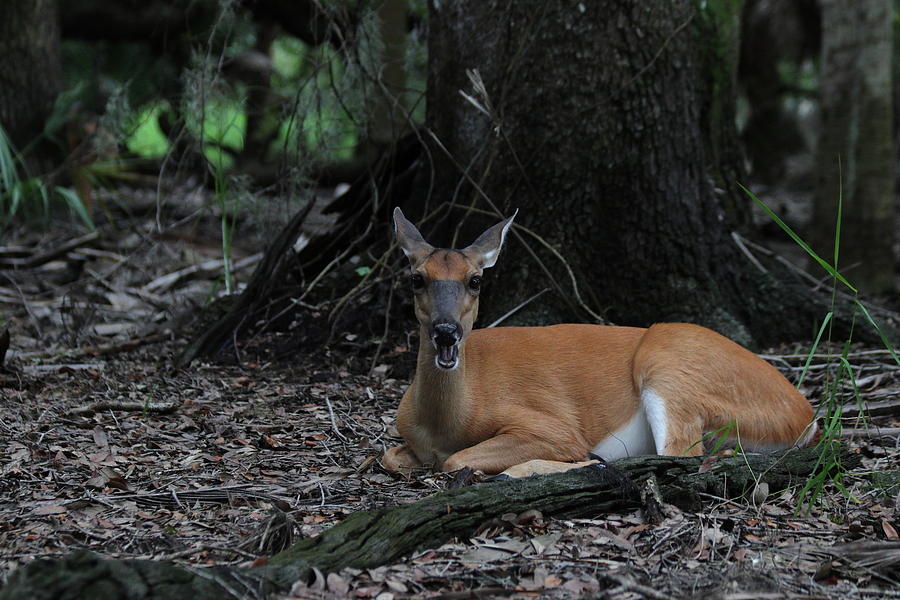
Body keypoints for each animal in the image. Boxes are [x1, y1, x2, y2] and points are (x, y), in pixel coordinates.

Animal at [384, 209, 820, 480]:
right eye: (416, 278)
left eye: (475, 280)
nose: (446, 331)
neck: (447, 422)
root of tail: (807, 417)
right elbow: (391, 457)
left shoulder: (550, 425)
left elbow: (456, 460)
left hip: (671, 369)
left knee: (681, 456)